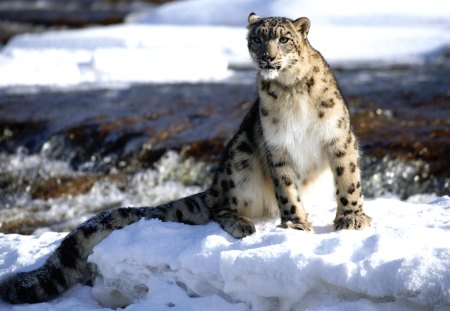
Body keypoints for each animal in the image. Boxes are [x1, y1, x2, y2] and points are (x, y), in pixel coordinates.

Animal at [1, 14, 370, 304]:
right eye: (257, 38)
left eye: (284, 39)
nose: (268, 57)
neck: (291, 92)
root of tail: (215, 187)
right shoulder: (276, 147)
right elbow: (287, 189)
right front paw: (295, 224)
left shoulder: (338, 137)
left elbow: (348, 178)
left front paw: (351, 218)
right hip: (240, 158)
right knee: (222, 207)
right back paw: (241, 222)